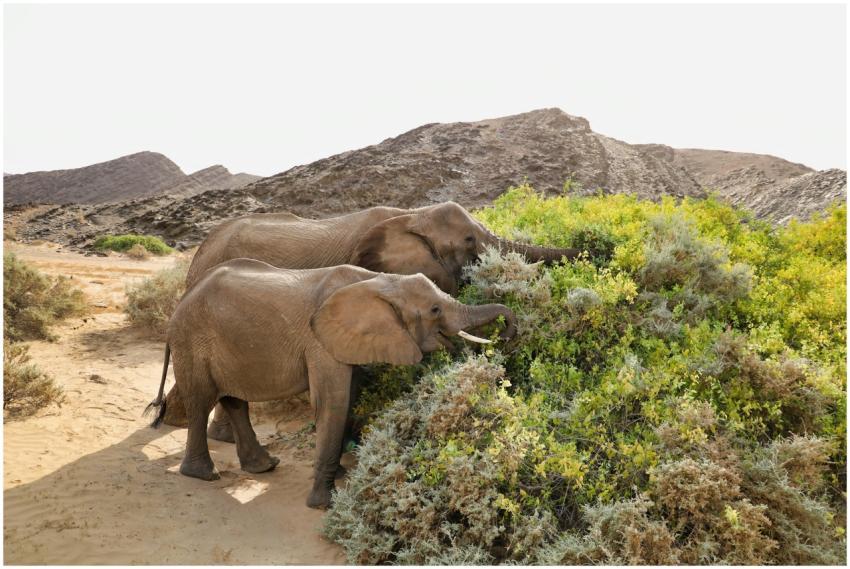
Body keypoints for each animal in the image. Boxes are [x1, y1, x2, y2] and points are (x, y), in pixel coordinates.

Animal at [146, 258, 516, 509]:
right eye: (436, 309)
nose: (509, 330)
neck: (380, 282)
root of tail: (181, 301)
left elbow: (348, 397)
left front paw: (337, 477)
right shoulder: (319, 342)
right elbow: (332, 402)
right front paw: (325, 503)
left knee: (234, 399)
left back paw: (264, 466)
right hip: (192, 341)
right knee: (202, 400)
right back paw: (203, 474)